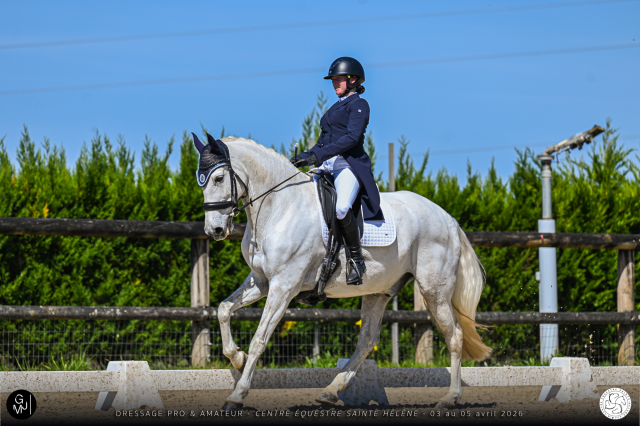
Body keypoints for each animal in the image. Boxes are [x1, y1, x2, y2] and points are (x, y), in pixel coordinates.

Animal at [198, 136, 492, 410]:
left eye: (219, 178)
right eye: (201, 182)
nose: (214, 231)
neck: (279, 207)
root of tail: (448, 218)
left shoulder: (284, 286)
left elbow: (259, 339)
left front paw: (237, 395)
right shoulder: (261, 281)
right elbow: (223, 309)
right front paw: (237, 358)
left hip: (434, 291)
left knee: (454, 336)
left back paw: (450, 398)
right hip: (379, 291)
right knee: (368, 340)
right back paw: (331, 391)